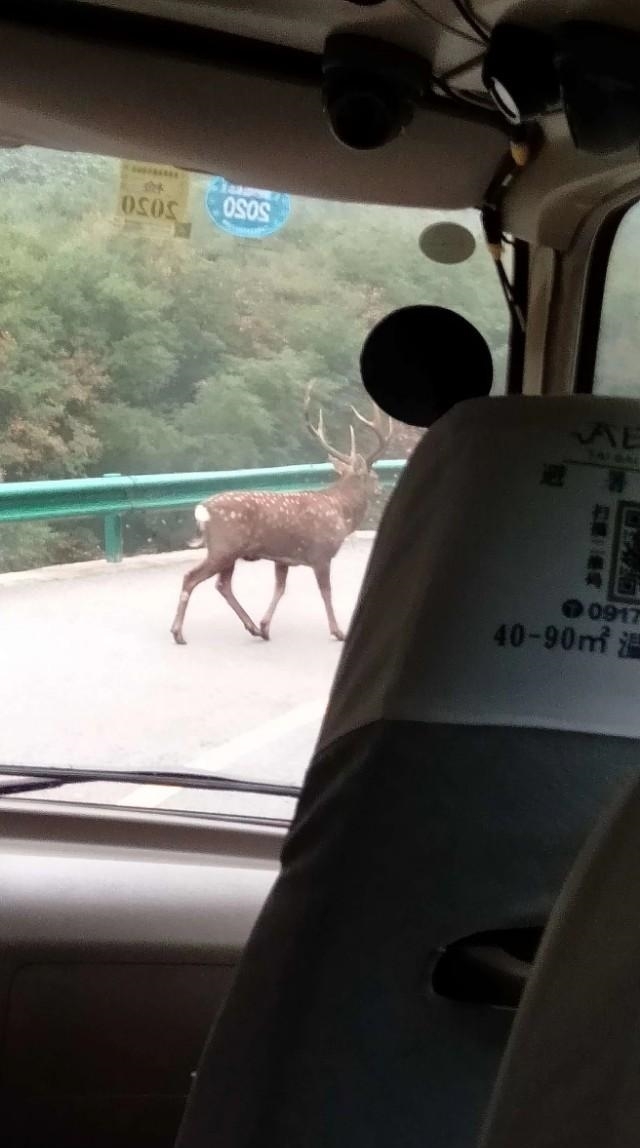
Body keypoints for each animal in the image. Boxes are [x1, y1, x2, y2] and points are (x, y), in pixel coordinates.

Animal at [170, 386, 392, 645]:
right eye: (374, 476)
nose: (380, 489)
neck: (341, 512)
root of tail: (202, 509)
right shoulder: (321, 554)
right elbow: (326, 592)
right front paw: (338, 631)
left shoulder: (282, 558)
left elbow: (280, 588)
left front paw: (265, 626)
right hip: (224, 547)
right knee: (192, 577)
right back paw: (178, 633)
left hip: (228, 551)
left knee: (223, 585)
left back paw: (252, 627)